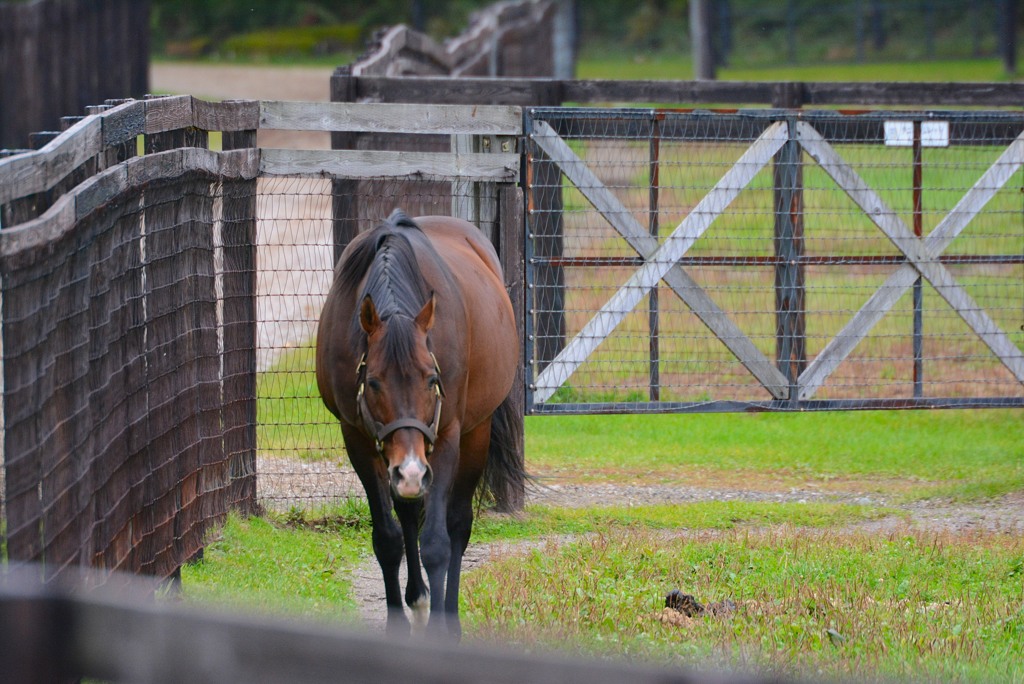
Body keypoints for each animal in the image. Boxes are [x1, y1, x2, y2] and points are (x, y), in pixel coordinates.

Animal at [315, 209, 524, 643]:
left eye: (431, 379)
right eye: (374, 382)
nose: (409, 471)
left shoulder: (444, 437)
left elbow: (438, 543)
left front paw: (442, 633)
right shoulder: (360, 440)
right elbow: (388, 537)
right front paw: (399, 622)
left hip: (472, 436)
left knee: (458, 525)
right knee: (409, 514)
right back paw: (418, 598)